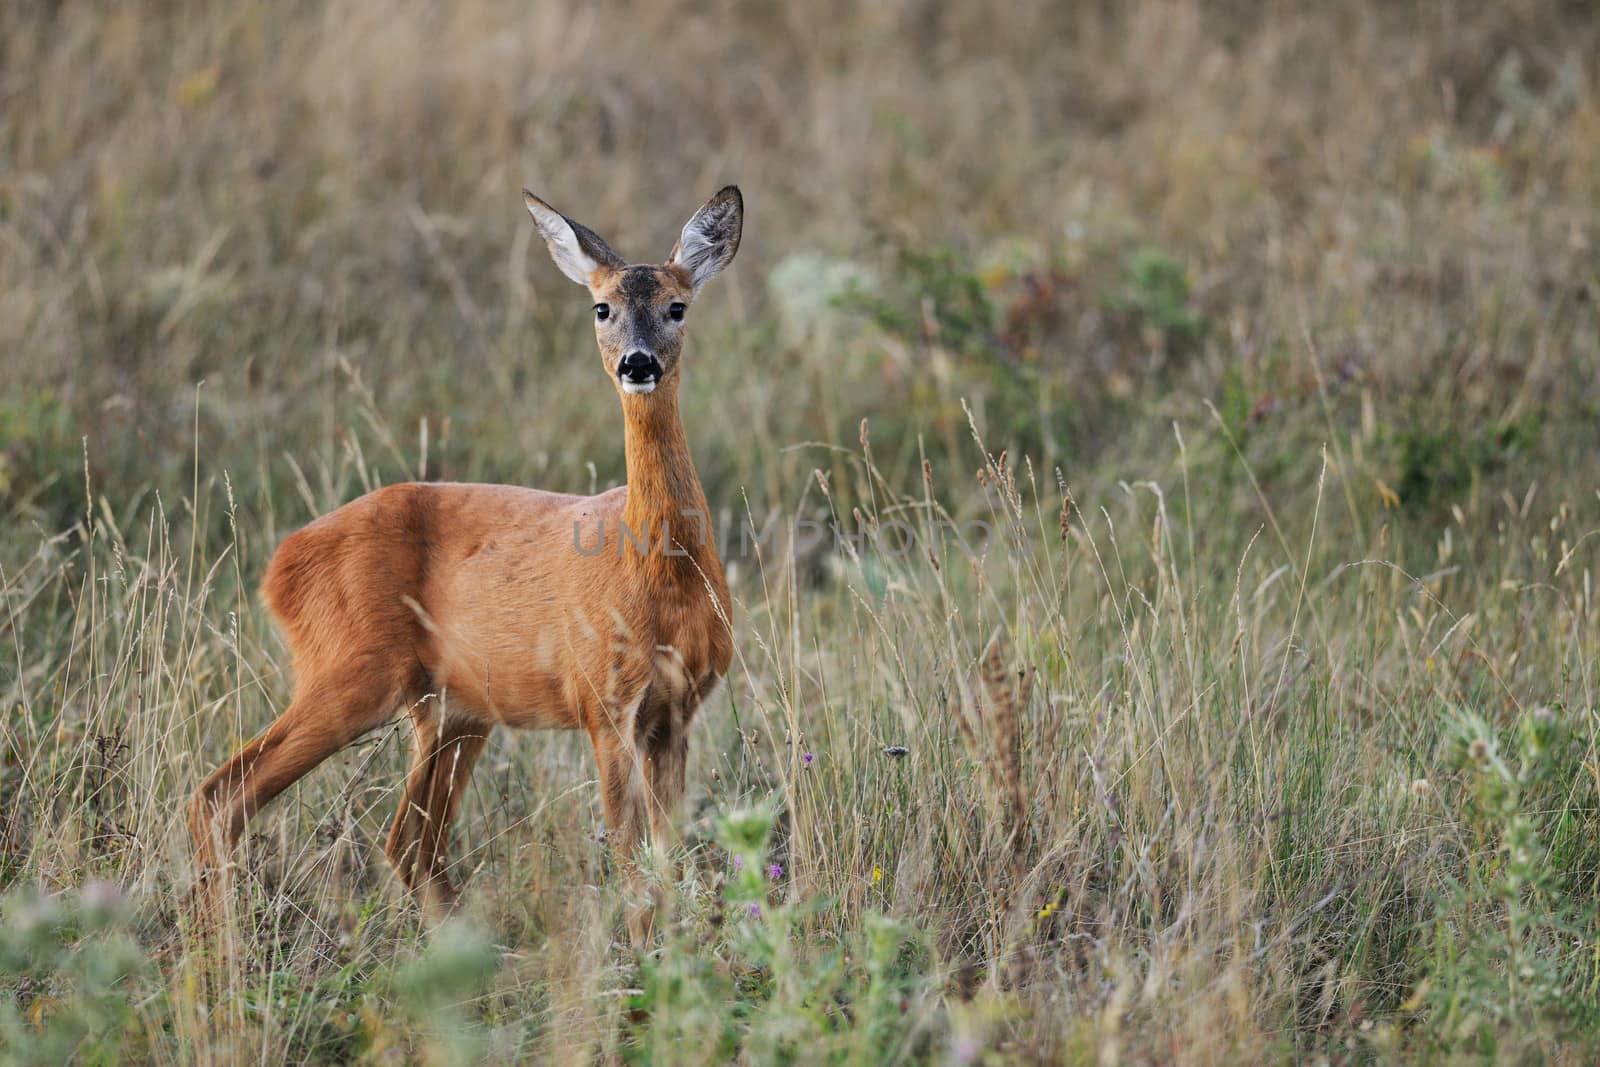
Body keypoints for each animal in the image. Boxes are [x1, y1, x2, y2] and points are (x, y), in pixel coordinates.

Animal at [190, 183, 739, 940]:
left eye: (677, 305)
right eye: (601, 307)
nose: (637, 363)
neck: (658, 575)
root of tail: (280, 565)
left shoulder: (676, 711)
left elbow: (667, 855)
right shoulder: (602, 699)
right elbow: (632, 861)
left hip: (452, 708)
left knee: (407, 839)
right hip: (354, 667)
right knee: (224, 793)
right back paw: (224, 946)